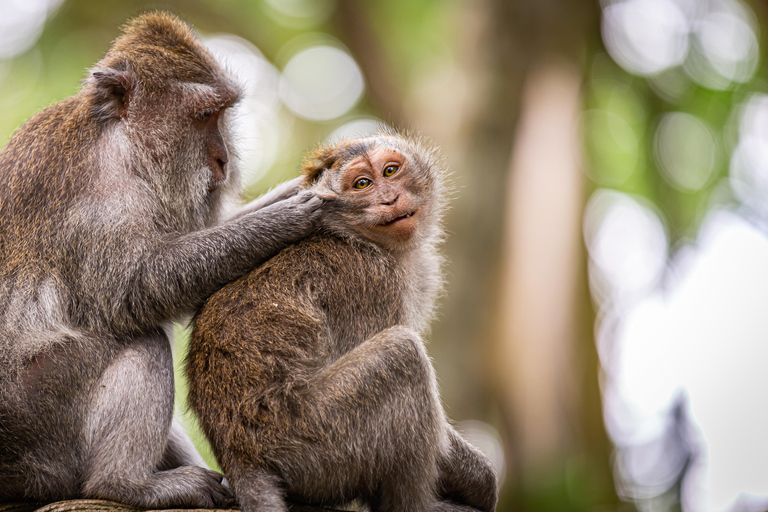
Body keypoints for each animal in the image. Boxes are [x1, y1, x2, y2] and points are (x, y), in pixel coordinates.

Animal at [0, 11, 320, 508]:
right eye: (204, 115)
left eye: (222, 114)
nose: (223, 160)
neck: (120, 137)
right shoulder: (102, 196)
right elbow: (138, 288)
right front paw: (284, 220)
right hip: (41, 420)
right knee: (143, 340)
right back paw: (124, 485)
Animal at [185, 133, 498, 512]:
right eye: (362, 184)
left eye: (390, 171)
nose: (389, 198)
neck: (358, 237)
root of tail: (239, 456)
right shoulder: (371, 282)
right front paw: (479, 478)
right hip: (313, 442)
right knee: (402, 354)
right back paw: (412, 505)